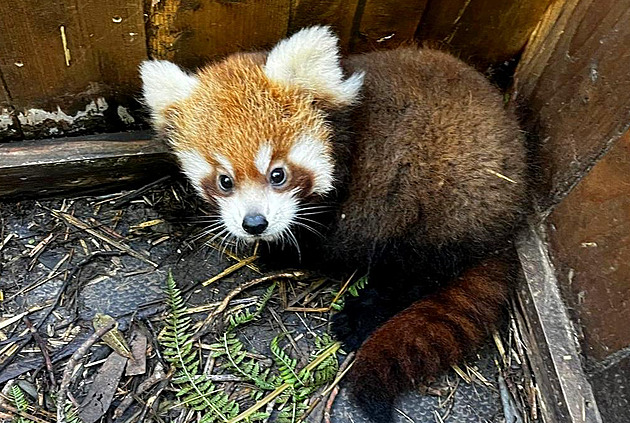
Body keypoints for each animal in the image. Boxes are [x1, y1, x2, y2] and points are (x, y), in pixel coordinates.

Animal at [141, 26, 532, 423]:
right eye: (224, 181)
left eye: (277, 174)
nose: (254, 223)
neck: (345, 133)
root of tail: (510, 213)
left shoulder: (350, 202)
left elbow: (325, 244)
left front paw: (280, 254)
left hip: (443, 207)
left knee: (414, 273)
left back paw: (360, 316)